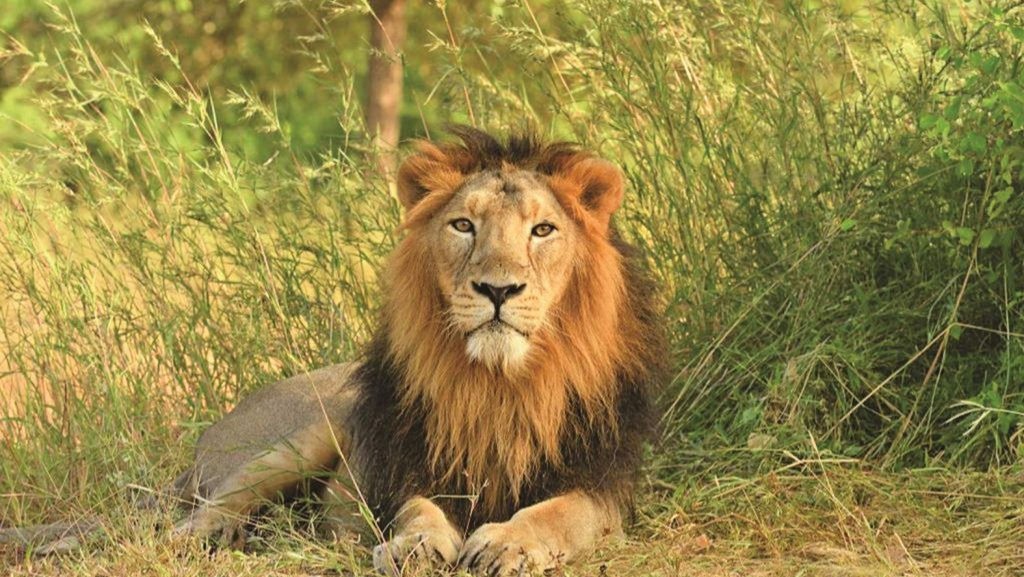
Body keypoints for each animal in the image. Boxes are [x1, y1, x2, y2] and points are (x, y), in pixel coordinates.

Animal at [169, 127, 668, 575]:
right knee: (216, 503)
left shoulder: (602, 485)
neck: (500, 383)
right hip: (302, 436)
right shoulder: (409, 466)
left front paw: (507, 543)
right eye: (463, 225)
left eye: (543, 230)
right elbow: (418, 509)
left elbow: (558, 513)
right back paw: (205, 535)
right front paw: (416, 545)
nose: (498, 289)